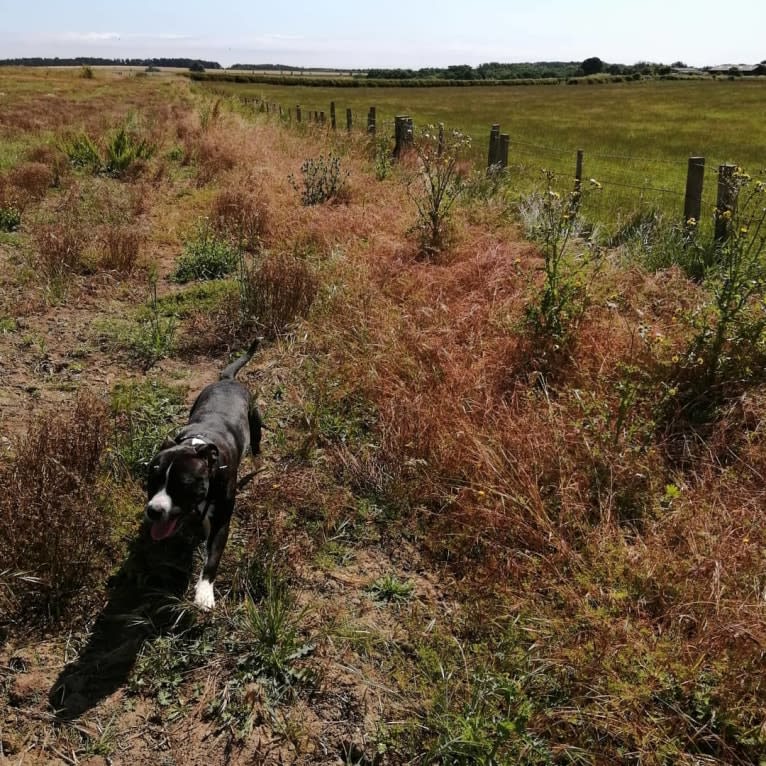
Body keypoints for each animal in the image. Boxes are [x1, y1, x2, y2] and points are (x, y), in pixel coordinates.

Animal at [146, 342, 262, 612]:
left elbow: (213, 558)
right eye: (151, 481)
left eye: (182, 486)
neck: (198, 445)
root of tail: (228, 380)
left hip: (255, 417)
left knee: (257, 442)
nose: (153, 511)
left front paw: (204, 593)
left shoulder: (221, 522)